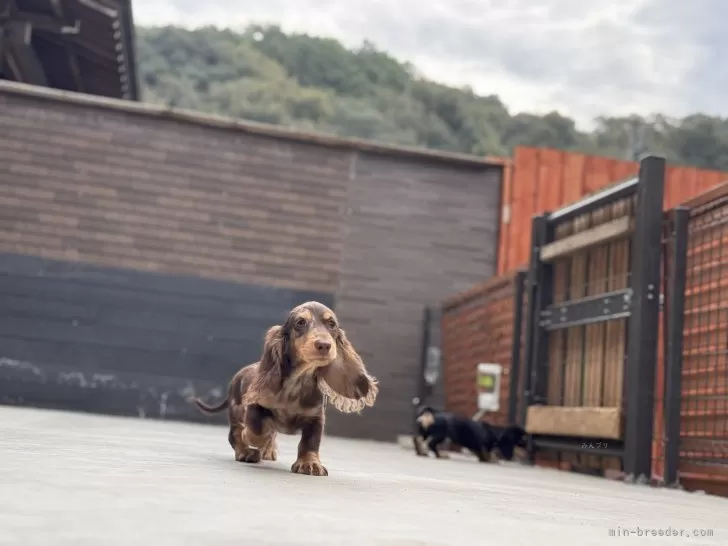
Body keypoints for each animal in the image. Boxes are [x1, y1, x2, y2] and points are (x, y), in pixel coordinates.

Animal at [193, 300, 378, 474]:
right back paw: (246, 451)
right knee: (235, 434)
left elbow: (310, 442)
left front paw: (310, 463)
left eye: (331, 324)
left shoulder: (316, 418)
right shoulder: (254, 406)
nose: (324, 345)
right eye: (300, 322)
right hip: (236, 409)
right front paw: (252, 438)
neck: (297, 383)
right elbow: (257, 429)